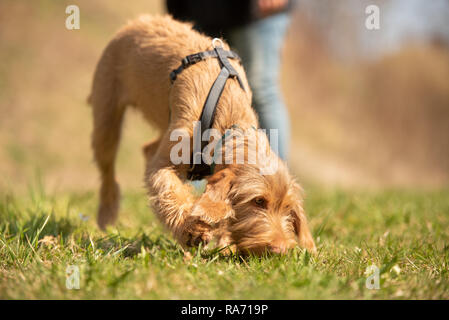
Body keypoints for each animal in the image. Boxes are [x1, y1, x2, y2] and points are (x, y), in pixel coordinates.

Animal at [89, 14, 316, 255]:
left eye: (287, 207)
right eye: (258, 201)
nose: (280, 250)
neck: (229, 123)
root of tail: (139, 20)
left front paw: (223, 244)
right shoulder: (163, 164)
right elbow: (170, 193)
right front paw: (190, 231)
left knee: (148, 148)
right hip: (106, 115)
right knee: (108, 168)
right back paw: (106, 213)